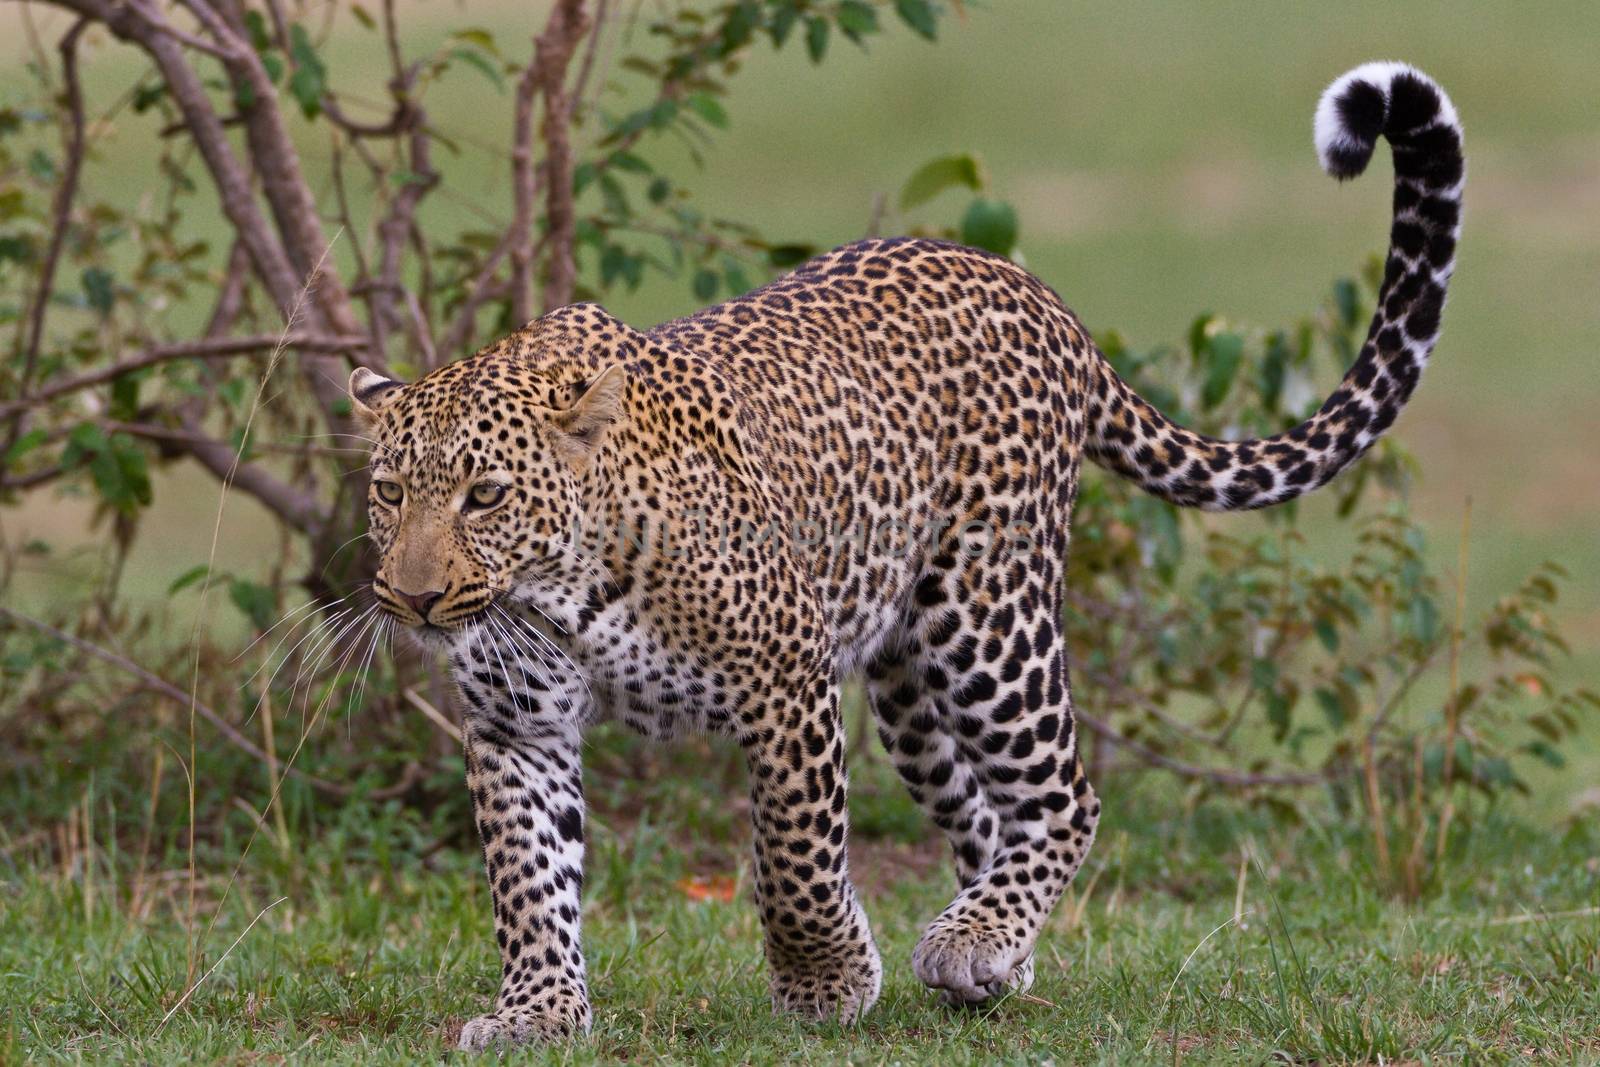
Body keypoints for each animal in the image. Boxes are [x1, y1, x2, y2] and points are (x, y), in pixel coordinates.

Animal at [347, 64, 1465, 1049]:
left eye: (486, 495)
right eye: (391, 492)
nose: (412, 596)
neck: (553, 590)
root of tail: (1039, 295)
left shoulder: (783, 679)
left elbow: (792, 853)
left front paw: (825, 980)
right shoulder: (516, 724)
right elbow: (527, 881)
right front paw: (537, 1011)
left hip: (986, 615)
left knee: (1065, 792)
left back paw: (970, 940)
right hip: (908, 681)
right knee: (985, 810)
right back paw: (994, 947)